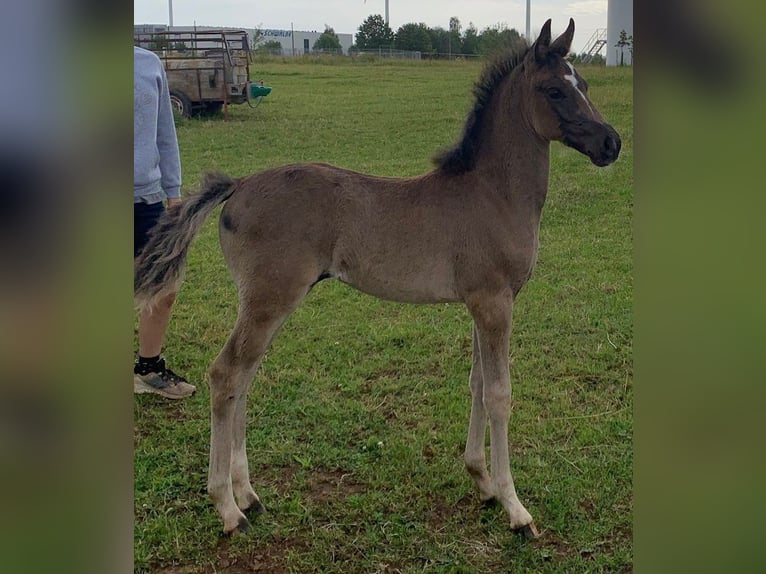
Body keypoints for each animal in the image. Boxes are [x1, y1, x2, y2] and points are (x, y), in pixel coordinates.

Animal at [135, 19, 620, 540]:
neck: (492, 193)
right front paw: (515, 509)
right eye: (554, 90)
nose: (611, 143)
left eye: (584, 84)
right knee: (226, 374)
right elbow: (499, 395)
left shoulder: (481, 303)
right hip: (269, 299)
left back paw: (248, 494)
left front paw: (483, 483)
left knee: (243, 377)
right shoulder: (495, 303)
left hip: (265, 303)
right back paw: (228, 508)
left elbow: (475, 383)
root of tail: (239, 186)